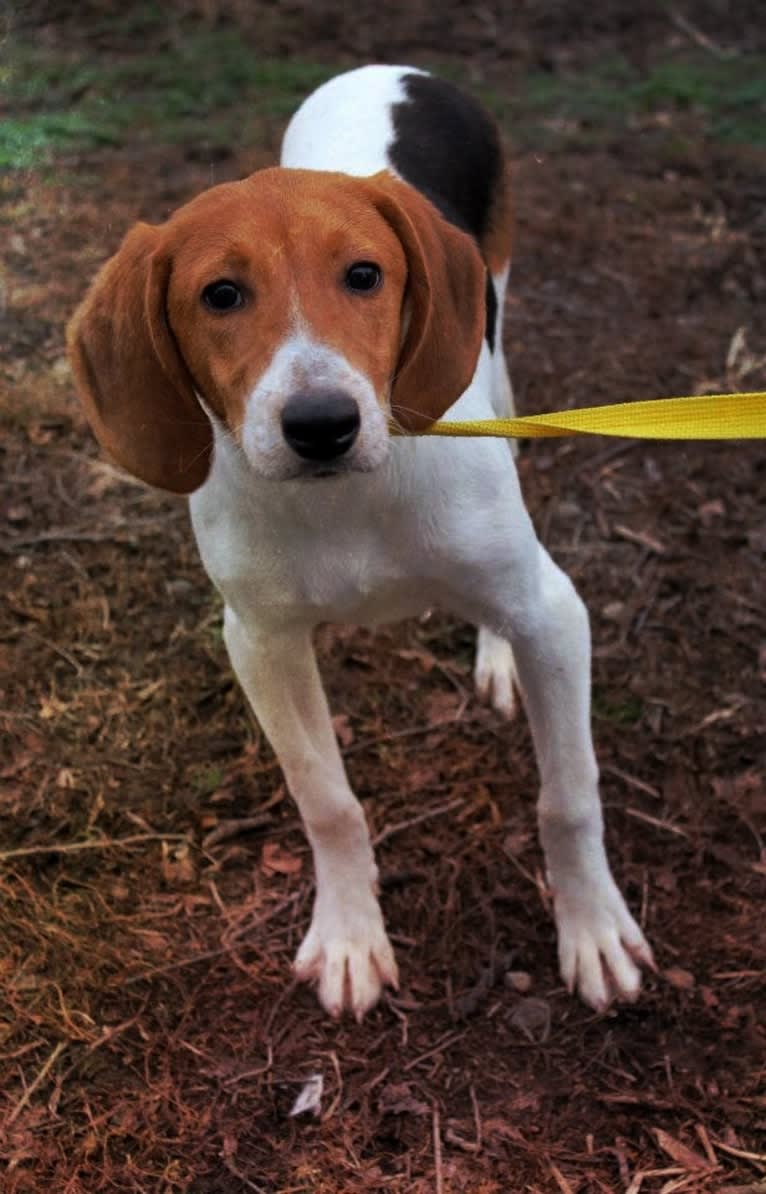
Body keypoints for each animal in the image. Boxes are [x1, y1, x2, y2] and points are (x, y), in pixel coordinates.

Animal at [68, 62, 649, 1017]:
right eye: (219, 295)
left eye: (365, 275)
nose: (320, 425)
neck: (349, 500)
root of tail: (397, 70)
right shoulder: (262, 645)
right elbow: (327, 801)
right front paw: (349, 936)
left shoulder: (557, 615)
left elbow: (568, 797)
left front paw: (593, 931)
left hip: (496, 352)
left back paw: (498, 657)